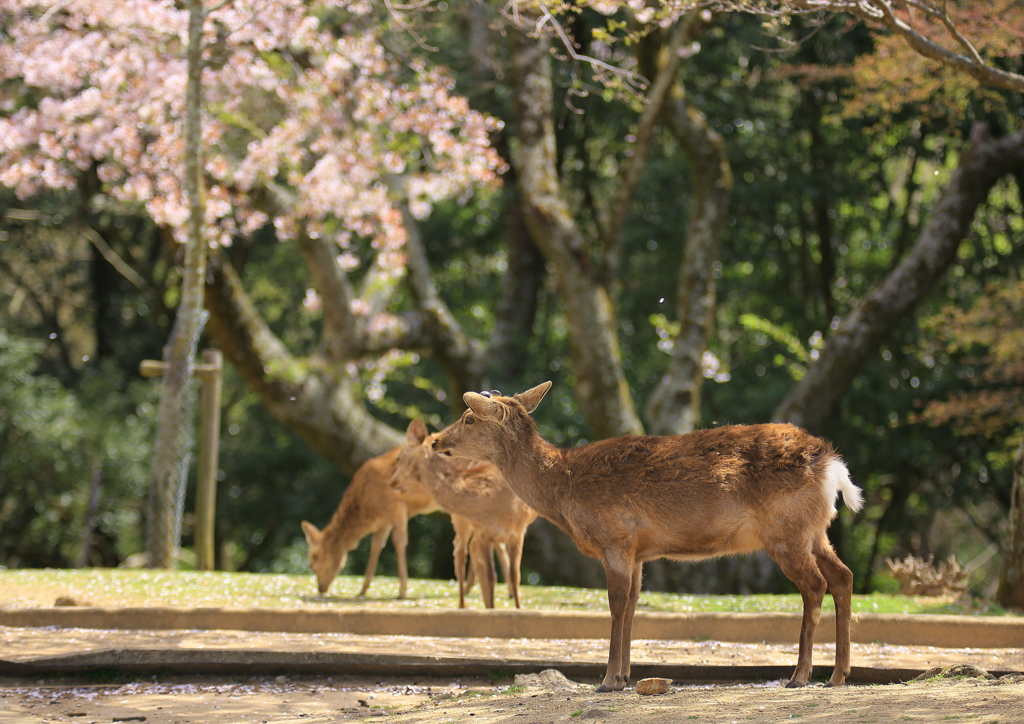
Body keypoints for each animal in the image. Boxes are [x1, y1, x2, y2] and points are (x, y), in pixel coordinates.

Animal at [299, 446, 436, 602]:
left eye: (313, 560)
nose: (321, 589)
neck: (369, 511)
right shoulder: (384, 521)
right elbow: (376, 545)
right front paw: (362, 590)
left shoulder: (396, 506)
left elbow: (399, 542)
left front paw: (402, 591)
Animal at [391, 419, 540, 610]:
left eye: (399, 458)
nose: (392, 482)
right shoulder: (482, 531)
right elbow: (490, 576)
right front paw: (491, 608)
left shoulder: (518, 531)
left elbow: (515, 576)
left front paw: (518, 609)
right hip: (461, 521)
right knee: (461, 553)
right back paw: (462, 605)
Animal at [432, 382, 864, 692]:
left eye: (469, 418)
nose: (436, 440)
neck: (563, 489)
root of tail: (833, 465)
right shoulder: (639, 551)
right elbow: (633, 607)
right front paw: (624, 677)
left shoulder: (615, 537)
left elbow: (616, 605)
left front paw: (607, 681)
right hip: (815, 530)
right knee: (843, 576)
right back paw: (838, 675)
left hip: (785, 529)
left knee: (815, 584)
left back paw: (800, 676)